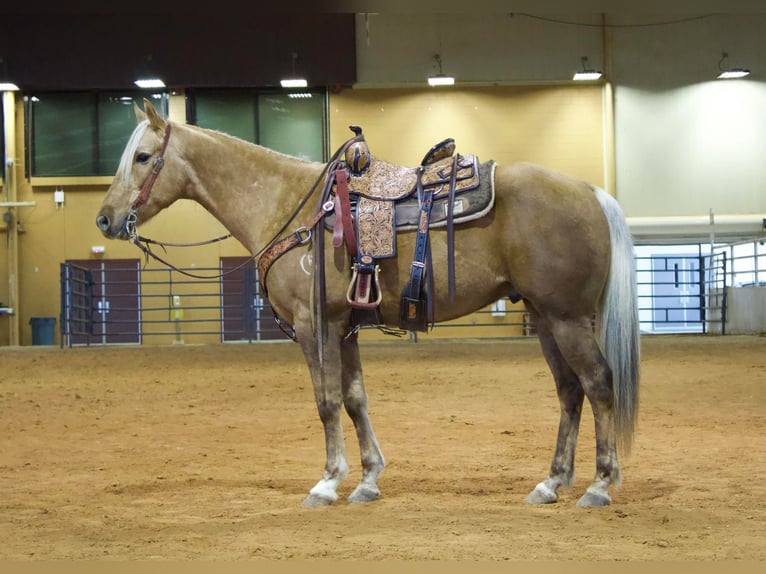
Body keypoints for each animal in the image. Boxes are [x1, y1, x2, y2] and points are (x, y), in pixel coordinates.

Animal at [97, 99, 640, 508]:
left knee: (598, 384)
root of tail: (592, 193)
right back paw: (551, 482)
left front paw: (327, 481)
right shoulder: (346, 327)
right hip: (545, 317)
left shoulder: (314, 325)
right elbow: (355, 398)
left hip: (568, 319)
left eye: (143, 157)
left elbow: (326, 401)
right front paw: (367, 479)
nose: (105, 219)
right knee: (570, 391)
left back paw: (597, 485)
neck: (293, 208)